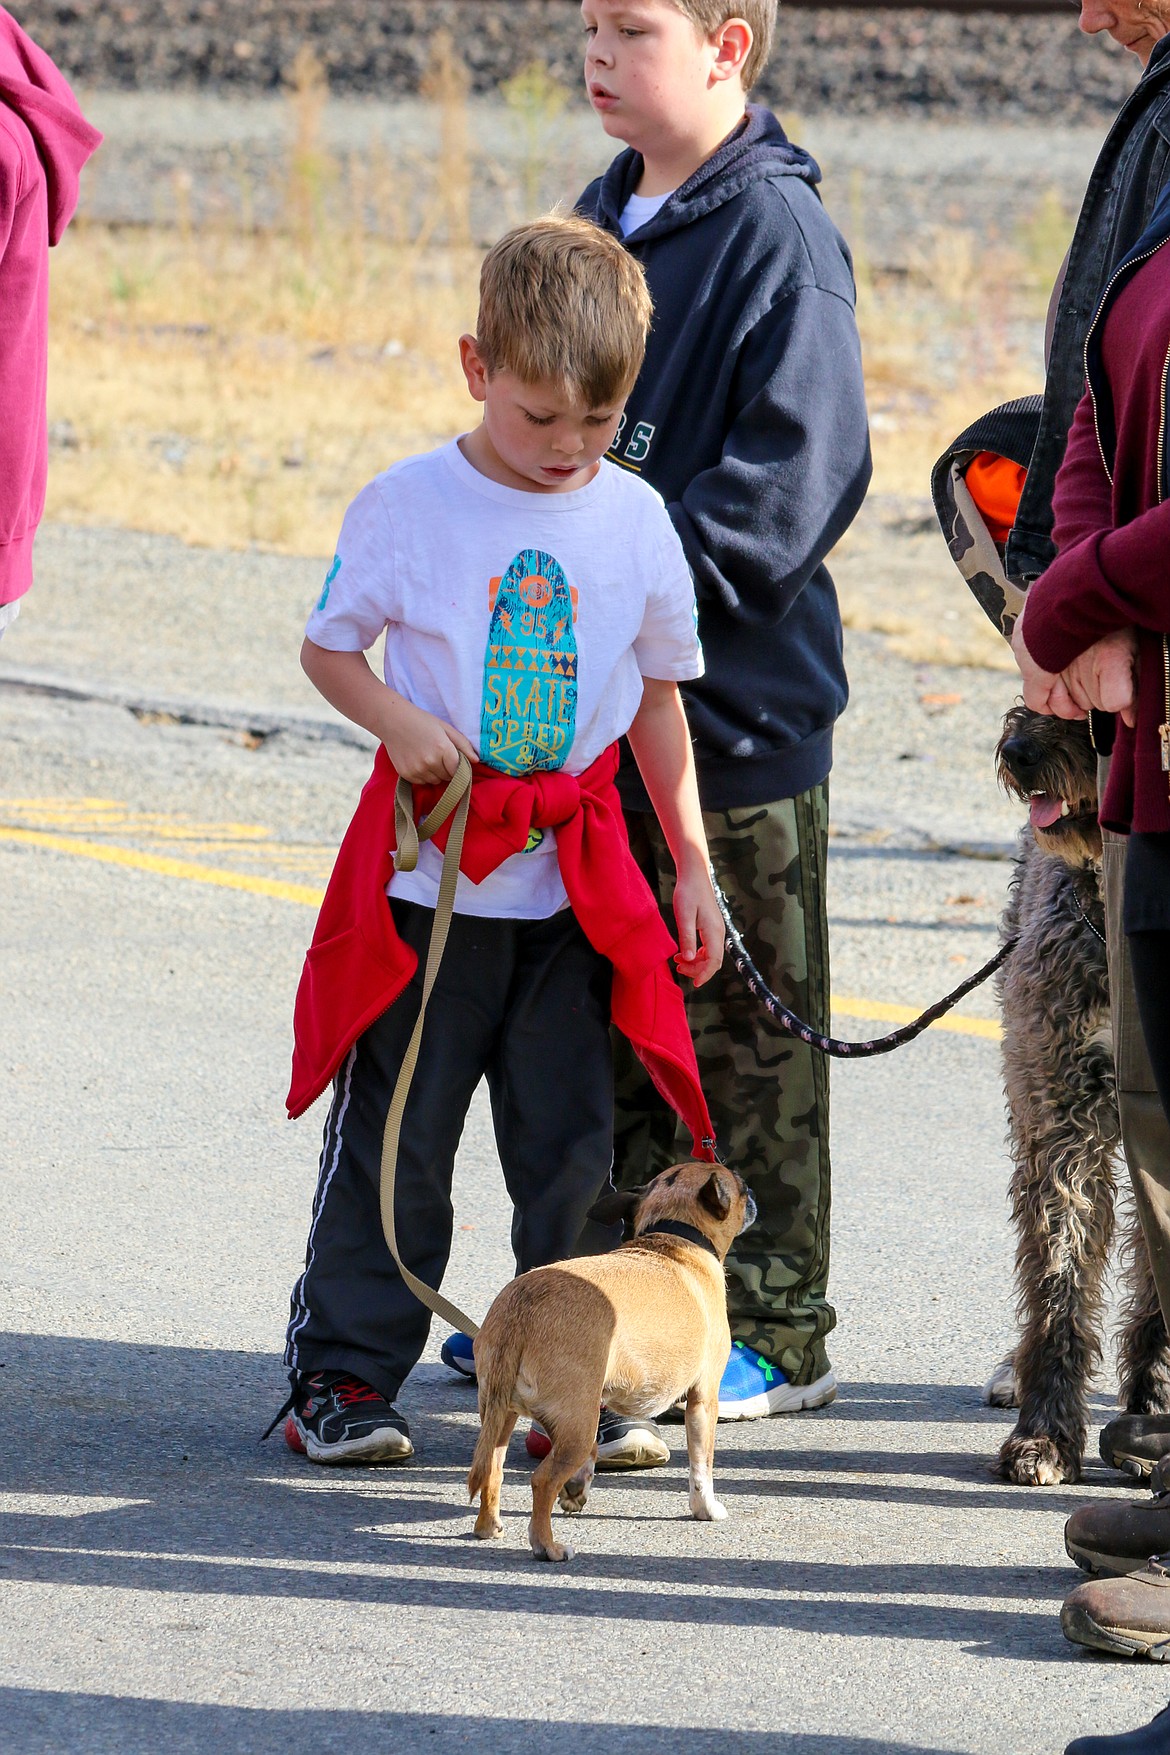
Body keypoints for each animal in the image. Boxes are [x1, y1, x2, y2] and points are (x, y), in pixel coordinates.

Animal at [470, 1165, 761, 1565]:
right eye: (742, 1187)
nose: (754, 1195)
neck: (675, 1237)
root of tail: (520, 1311)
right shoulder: (703, 1401)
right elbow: (702, 1465)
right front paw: (706, 1508)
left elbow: (591, 1457)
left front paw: (577, 1489)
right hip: (576, 1422)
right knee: (541, 1481)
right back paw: (547, 1545)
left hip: (509, 1416)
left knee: (492, 1471)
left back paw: (488, 1526)